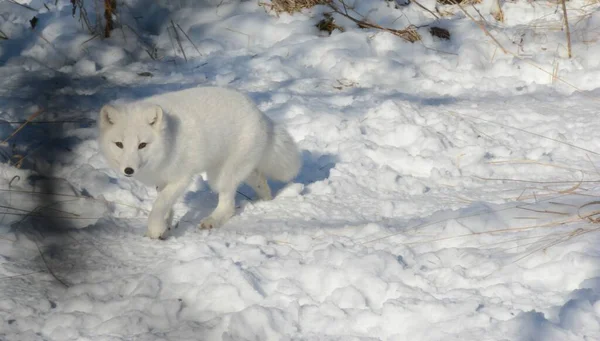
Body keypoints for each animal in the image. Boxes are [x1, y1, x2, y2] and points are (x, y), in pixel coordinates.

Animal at [100, 86, 302, 238]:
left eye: (142, 145)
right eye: (119, 144)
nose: (128, 170)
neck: (169, 139)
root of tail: (261, 114)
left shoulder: (181, 178)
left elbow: (159, 204)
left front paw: (155, 229)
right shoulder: (161, 180)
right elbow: (164, 204)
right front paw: (165, 227)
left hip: (221, 177)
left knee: (228, 205)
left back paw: (212, 220)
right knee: (258, 178)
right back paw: (266, 199)